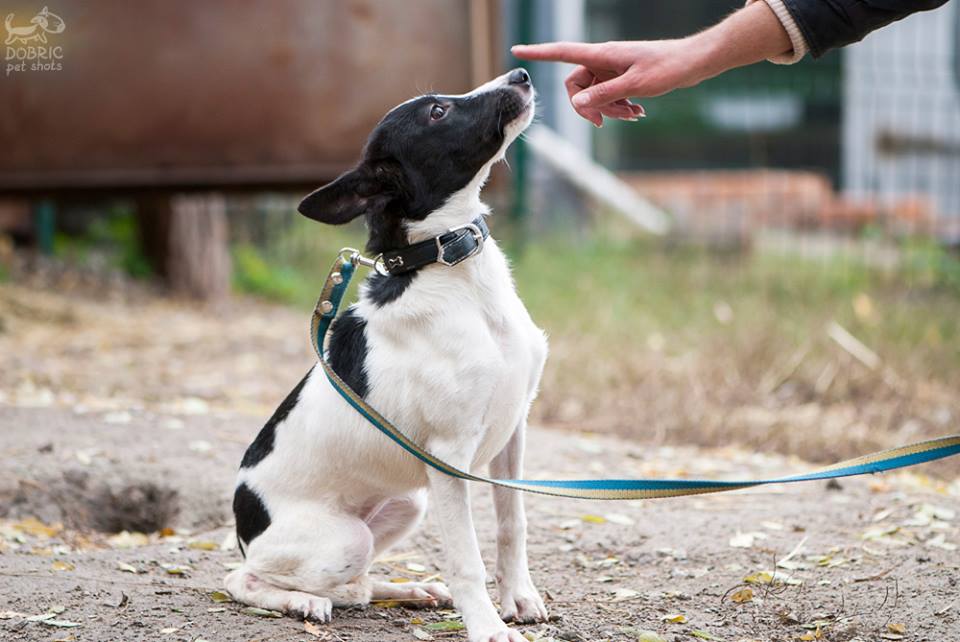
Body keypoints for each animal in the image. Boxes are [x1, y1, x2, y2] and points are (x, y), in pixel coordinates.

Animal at [226, 70, 552, 640]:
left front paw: (518, 598)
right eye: (438, 112)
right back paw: (299, 601)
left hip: (406, 503)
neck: (452, 269)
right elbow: (466, 558)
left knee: (355, 585)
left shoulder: (513, 430)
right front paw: (487, 626)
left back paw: (406, 590)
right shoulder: (449, 459)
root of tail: (245, 528)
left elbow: (513, 523)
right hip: (343, 537)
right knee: (245, 578)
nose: (521, 74)